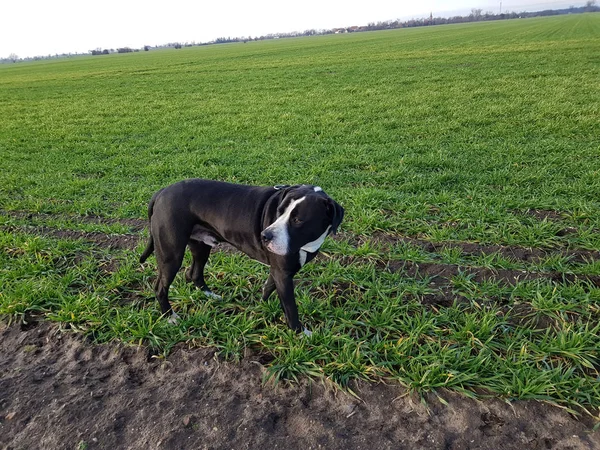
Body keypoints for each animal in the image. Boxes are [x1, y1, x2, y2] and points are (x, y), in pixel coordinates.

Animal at [139, 179, 342, 334]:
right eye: (279, 211)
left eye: (298, 220)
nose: (265, 235)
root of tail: (162, 192)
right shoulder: (283, 274)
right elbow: (291, 308)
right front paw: (300, 332)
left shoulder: (278, 271)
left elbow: (268, 287)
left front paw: (261, 306)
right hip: (171, 254)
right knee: (160, 287)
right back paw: (170, 316)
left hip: (201, 246)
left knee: (194, 273)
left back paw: (210, 295)